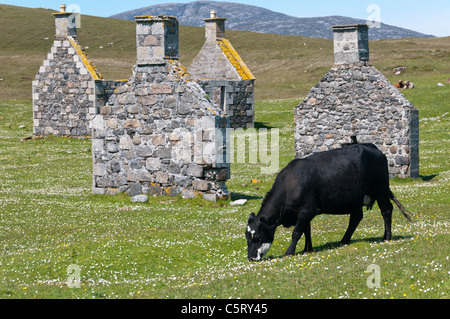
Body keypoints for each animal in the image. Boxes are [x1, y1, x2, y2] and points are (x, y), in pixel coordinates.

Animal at [246, 144, 412, 262]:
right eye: (247, 237)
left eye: (257, 236)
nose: (251, 258)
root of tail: (373, 148)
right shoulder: (305, 213)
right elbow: (307, 230)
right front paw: (308, 249)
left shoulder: (307, 210)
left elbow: (297, 232)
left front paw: (289, 252)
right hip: (356, 198)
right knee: (356, 218)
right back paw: (344, 240)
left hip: (381, 190)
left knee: (386, 210)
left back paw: (386, 237)